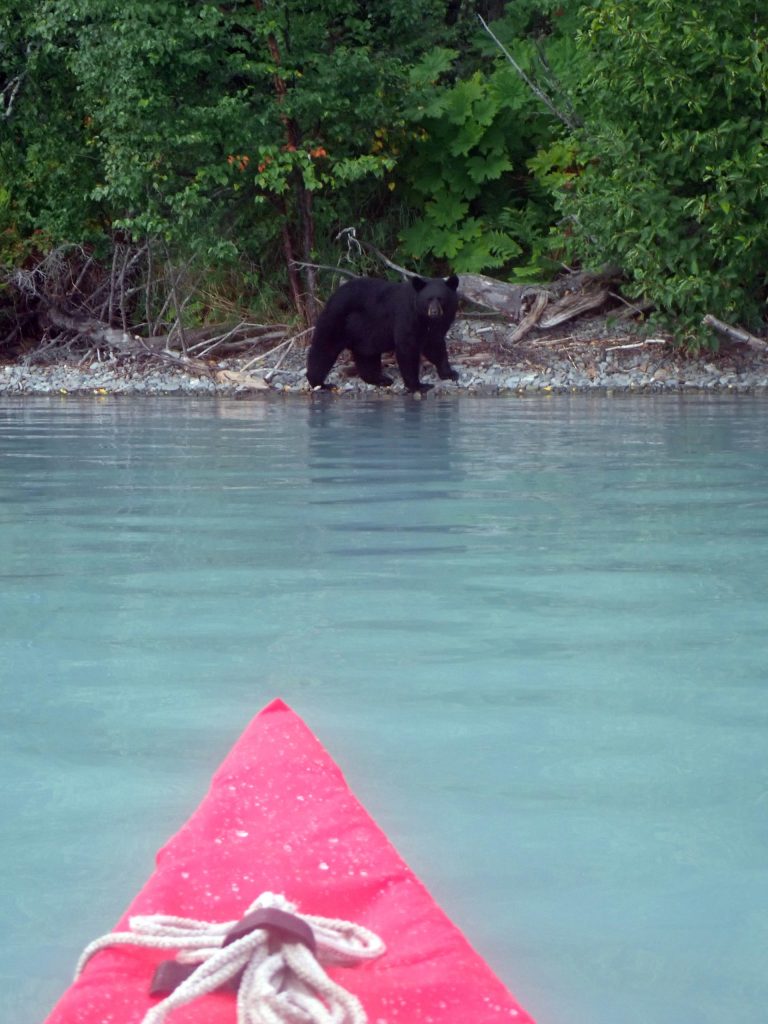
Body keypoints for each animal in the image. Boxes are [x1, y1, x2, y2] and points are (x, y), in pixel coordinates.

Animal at [306, 274, 460, 393]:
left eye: (441, 298)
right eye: (428, 299)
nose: (434, 312)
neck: (426, 319)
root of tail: (332, 296)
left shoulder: (435, 327)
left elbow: (435, 346)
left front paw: (450, 373)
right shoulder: (407, 317)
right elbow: (407, 349)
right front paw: (418, 385)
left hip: (364, 334)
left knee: (366, 356)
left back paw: (380, 379)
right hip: (337, 319)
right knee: (324, 350)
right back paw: (320, 383)